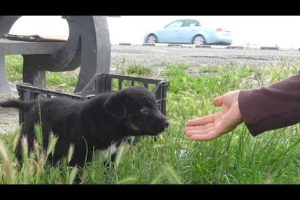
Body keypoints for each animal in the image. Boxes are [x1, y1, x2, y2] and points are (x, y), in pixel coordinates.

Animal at [0, 86, 169, 166]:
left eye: (156, 106)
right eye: (144, 109)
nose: (167, 123)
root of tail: (33, 103)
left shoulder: (112, 157)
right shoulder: (77, 158)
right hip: (29, 141)